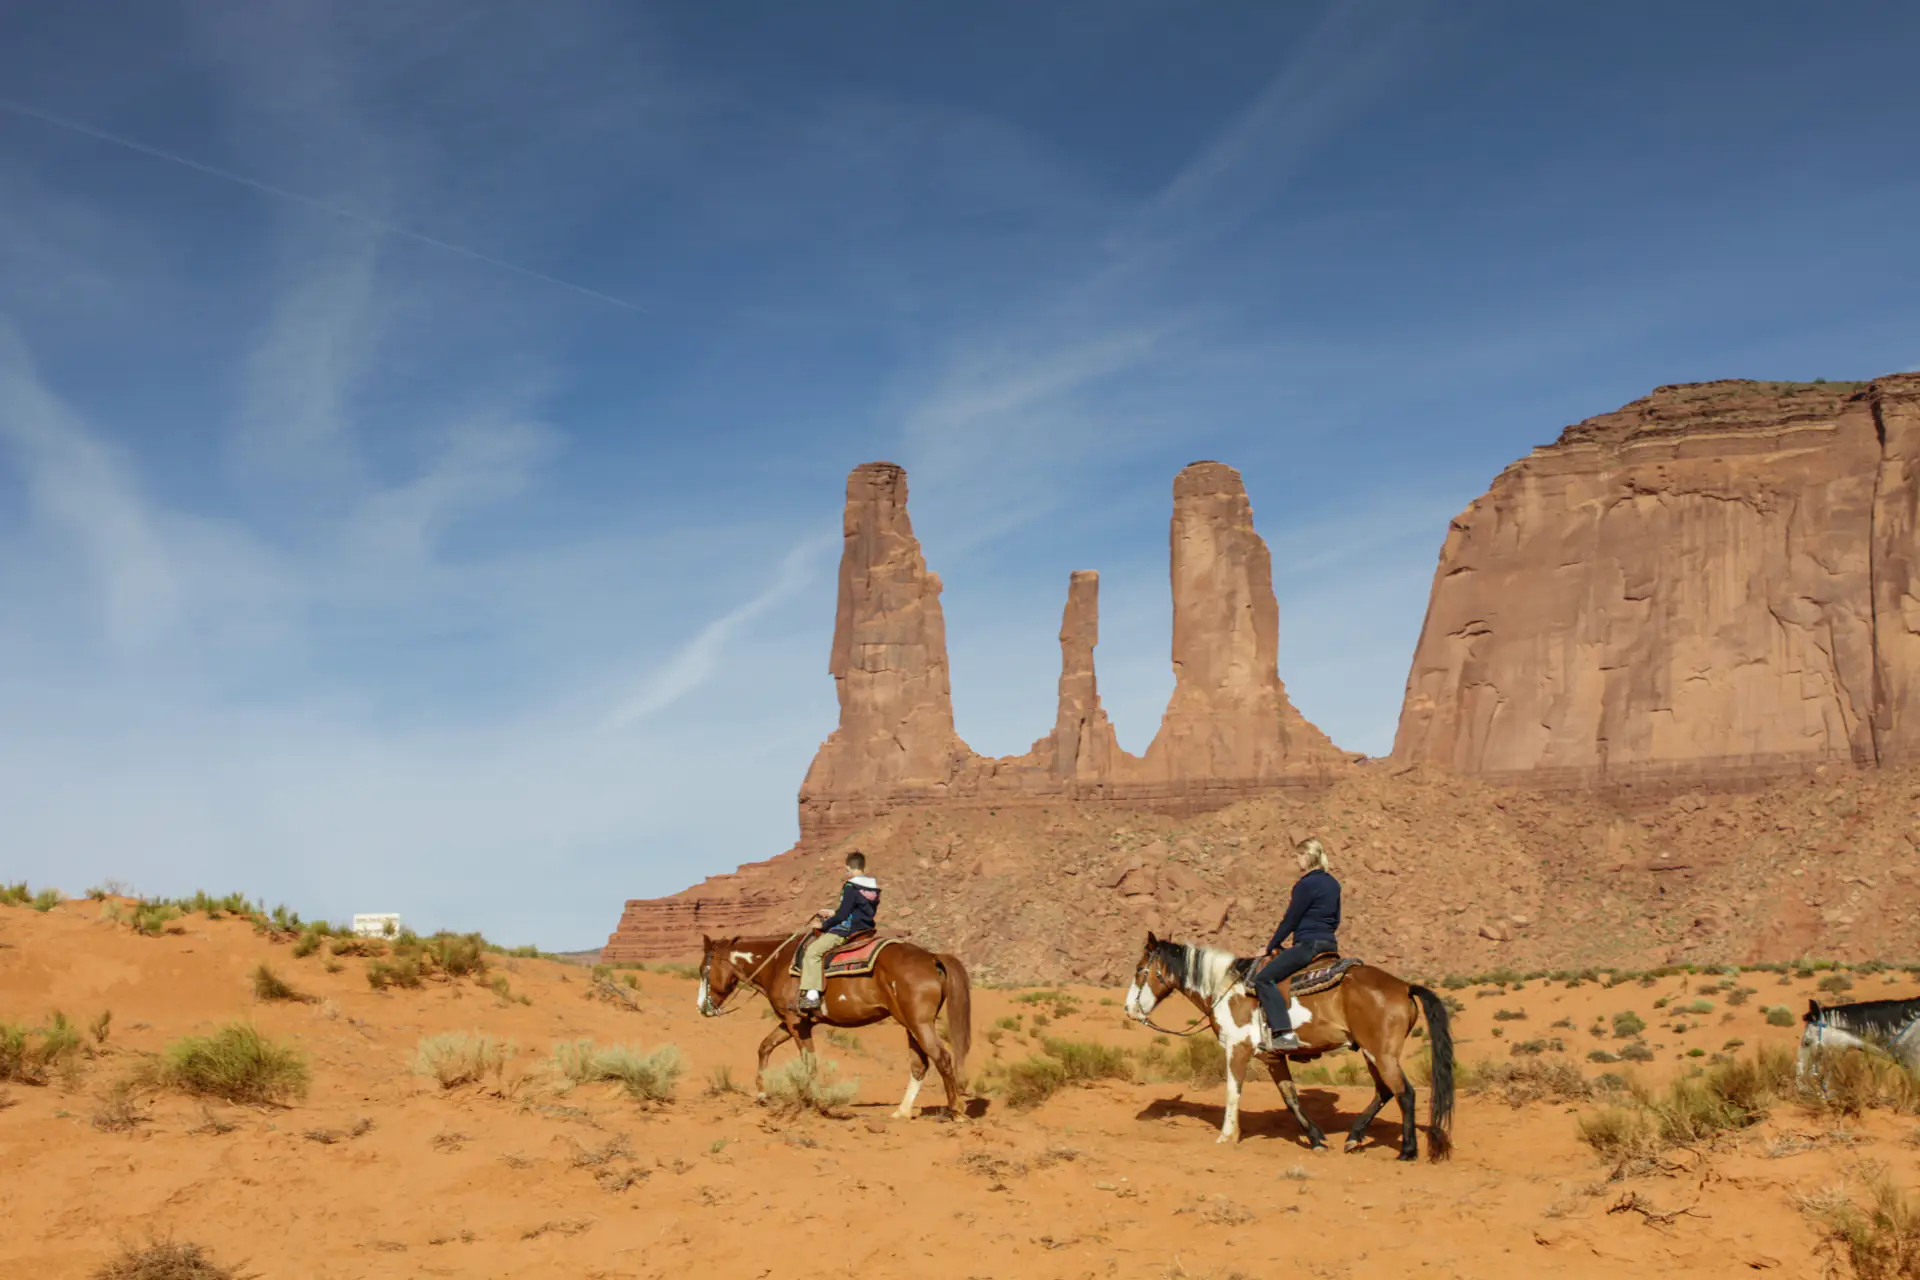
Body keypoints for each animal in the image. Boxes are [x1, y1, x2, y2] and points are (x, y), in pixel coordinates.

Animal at [697, 932, 972, 1120]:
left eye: (704, 970)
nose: (702, 1007)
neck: (776, 964)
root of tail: (932, 957)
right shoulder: (791, 1022)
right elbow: (765, 1047)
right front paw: (763, 1095)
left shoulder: (796, 1022)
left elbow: (809, 1062)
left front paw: (816, 1104)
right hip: (909, 1023)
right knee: (920, 1064)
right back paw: (901, 1112)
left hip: (919, 1022)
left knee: (942, 1058)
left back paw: (956, 1111)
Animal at [1124, 932, 1453, 1161]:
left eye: (1140, 969)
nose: (1129, 1009)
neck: (1227, 989)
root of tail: (1404, 987)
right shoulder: (1272, 1057)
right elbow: (1291, 1099)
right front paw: (1317, 1139)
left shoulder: (1237, 1049)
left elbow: (1233, 1091)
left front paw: (1227, 1136)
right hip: (1371, 1053)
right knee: (1384, 1092)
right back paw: (1354, 1137)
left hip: (1382, 1054)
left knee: (1405, 1093)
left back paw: (1407, 1150)